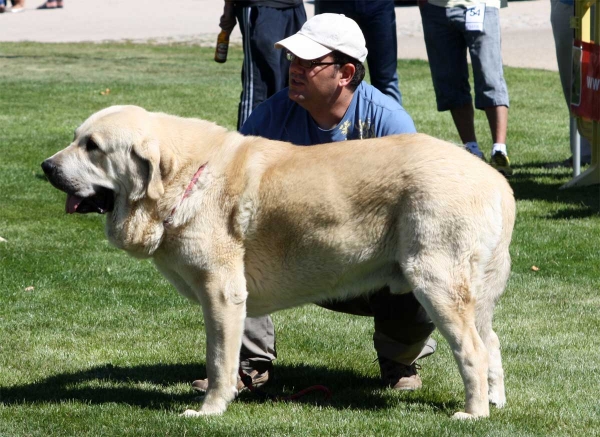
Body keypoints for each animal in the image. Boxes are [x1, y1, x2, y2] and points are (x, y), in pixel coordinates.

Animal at [43, 104, 516, 418]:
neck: (186, 177)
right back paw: (495, 400)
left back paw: (473, 412)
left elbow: (219, 358)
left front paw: (210, 408)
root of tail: (495, 181)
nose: (46, 166)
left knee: (472, 348)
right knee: (491, 341)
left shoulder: (222, 292)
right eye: (76, 138)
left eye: (93, 147)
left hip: (432, 280)